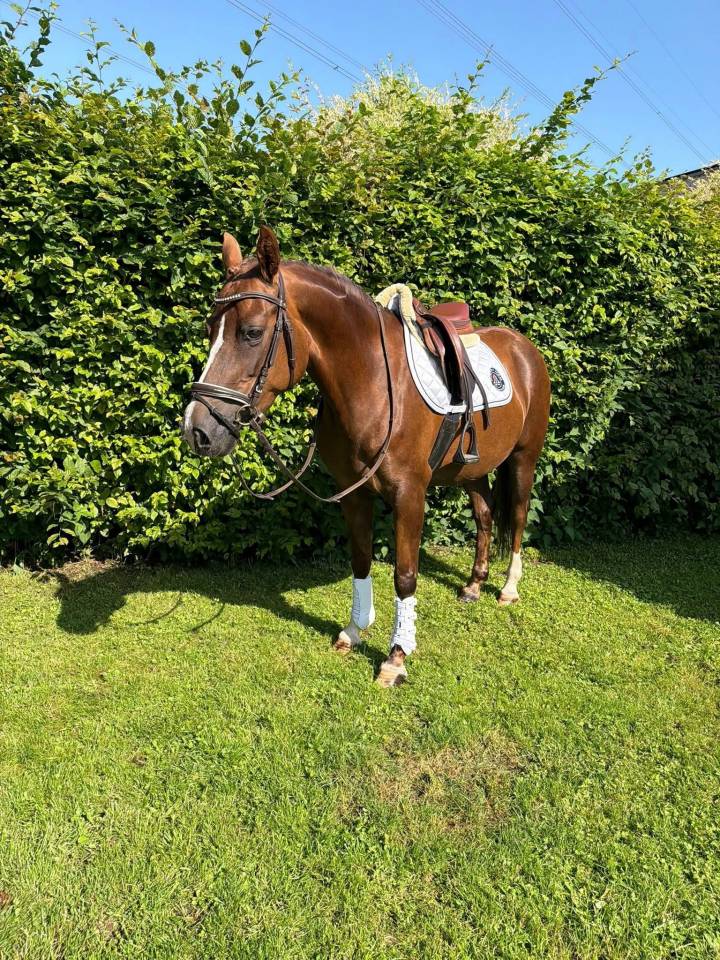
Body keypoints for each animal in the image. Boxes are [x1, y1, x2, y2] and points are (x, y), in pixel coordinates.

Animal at [182, 227, 550, 686]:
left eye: (251, 332)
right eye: (210, 327)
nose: (197, 429)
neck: (373, 382)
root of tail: (524, 348)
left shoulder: (410, 495)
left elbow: (405, 575)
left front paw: (397, 656)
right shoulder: (353, 493)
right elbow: (360, 561)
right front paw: (355, 631)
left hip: (523, 459)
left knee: (516, 518)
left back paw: (508, 588)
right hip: (472, 470)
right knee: (484, 518)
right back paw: (473, 586)